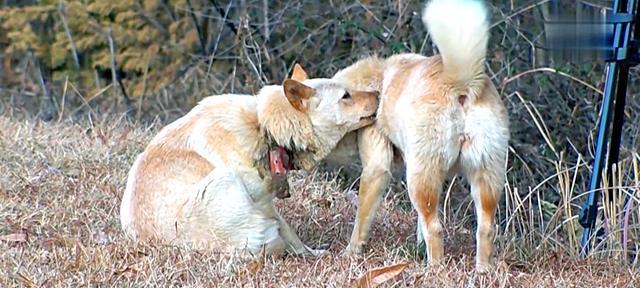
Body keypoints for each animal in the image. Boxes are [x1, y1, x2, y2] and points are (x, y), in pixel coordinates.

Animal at [119, 66, 380, 258]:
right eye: (345, 96)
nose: (378, 93)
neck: (262, 129)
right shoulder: (263, 203)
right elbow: (289, 233)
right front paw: (311, 254)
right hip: (224, 179)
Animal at [330, 0, 510, 272]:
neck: (379, 80)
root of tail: (462, 85)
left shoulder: (377, 167)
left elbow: (362, 217)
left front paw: (351, 252)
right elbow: (419, 224)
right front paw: (417, 245)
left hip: (420, 176)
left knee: (436, 228)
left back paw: (434, 270)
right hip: (486, 175)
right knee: (486, 228)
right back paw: (482, 271)